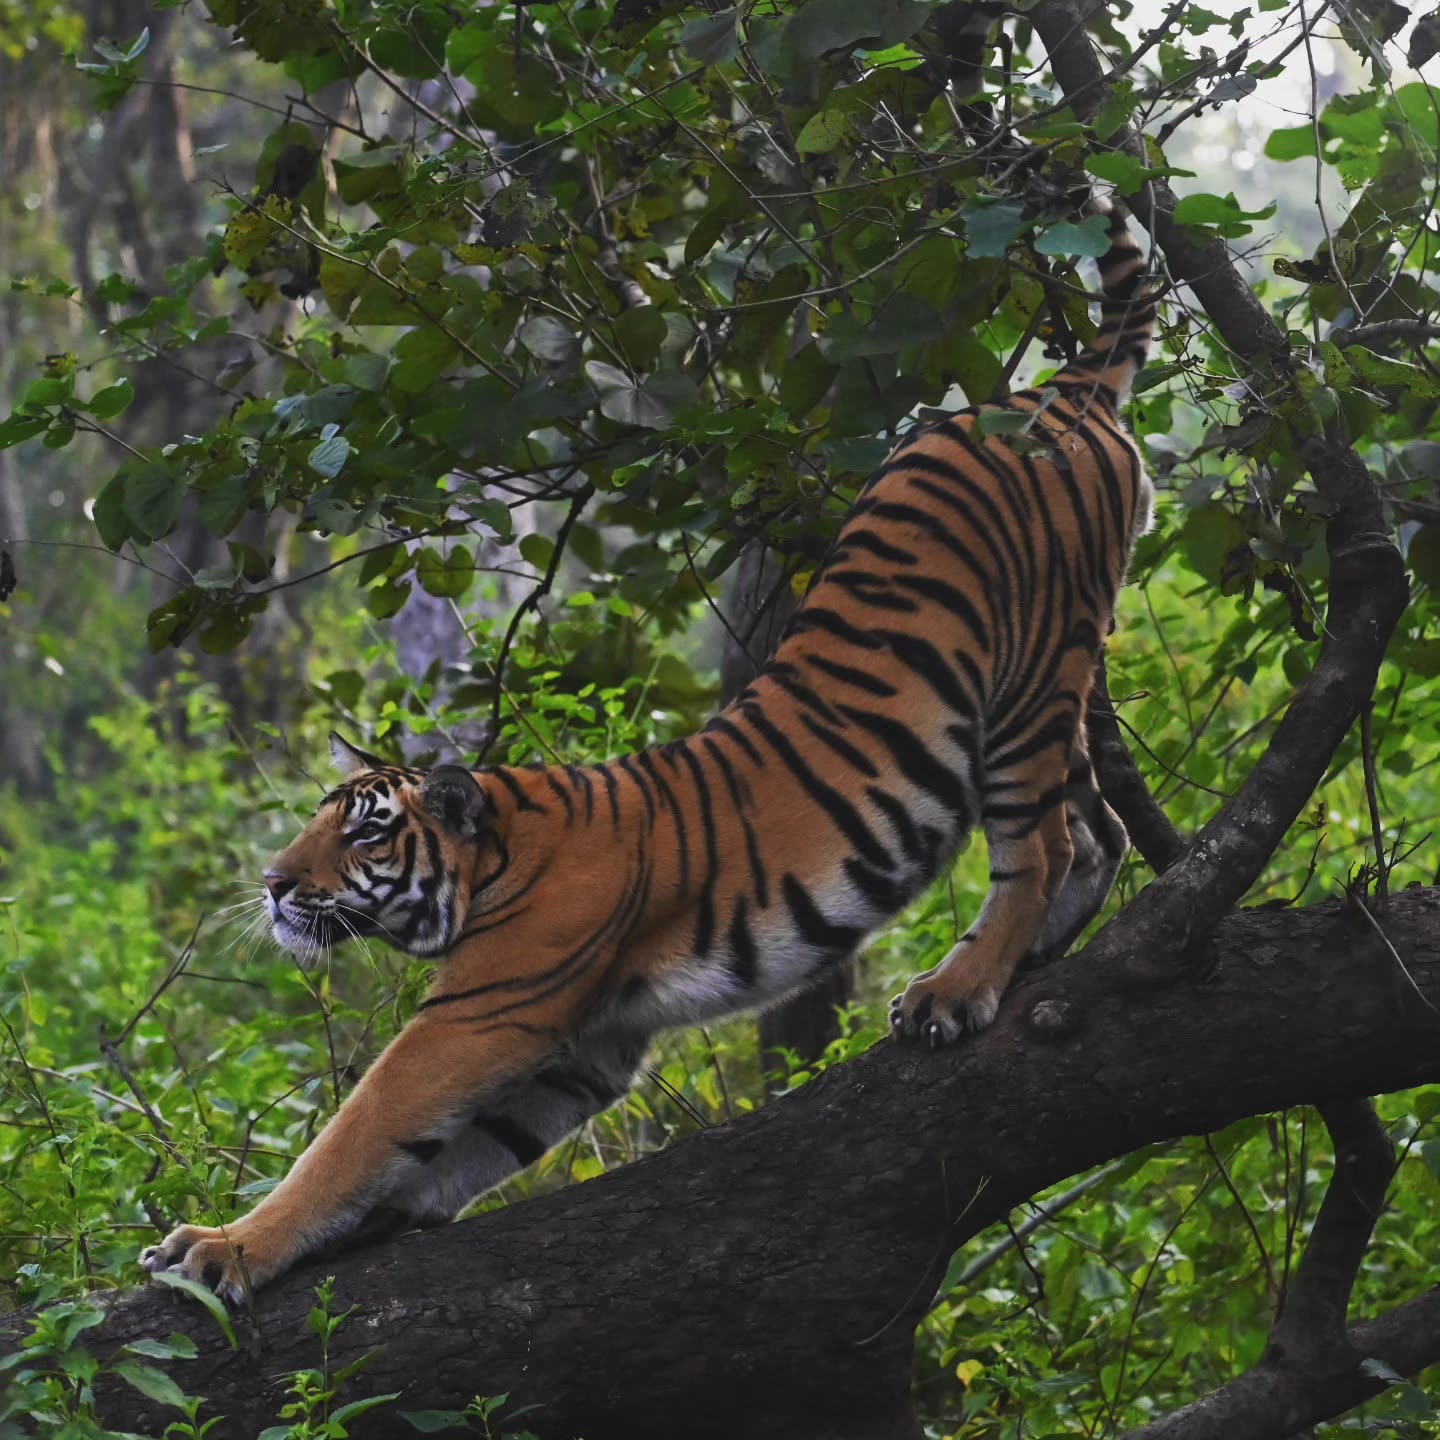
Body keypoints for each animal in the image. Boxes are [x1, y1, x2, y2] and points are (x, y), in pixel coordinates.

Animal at [140, 200, 1155, 1301]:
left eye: (365, 835)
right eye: (315, 823)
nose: (275, 884)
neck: (490, 863)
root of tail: (1055, 390)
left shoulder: (483, 1012)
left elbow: (357, 1133)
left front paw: (223, 1247)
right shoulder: (591, 1041)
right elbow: (455, 1153)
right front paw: (354, 1229)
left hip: (1027, 678)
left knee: (1044, 845)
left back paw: (958, 991)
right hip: (1060, 690)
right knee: (1100, 828)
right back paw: (1030, 955)